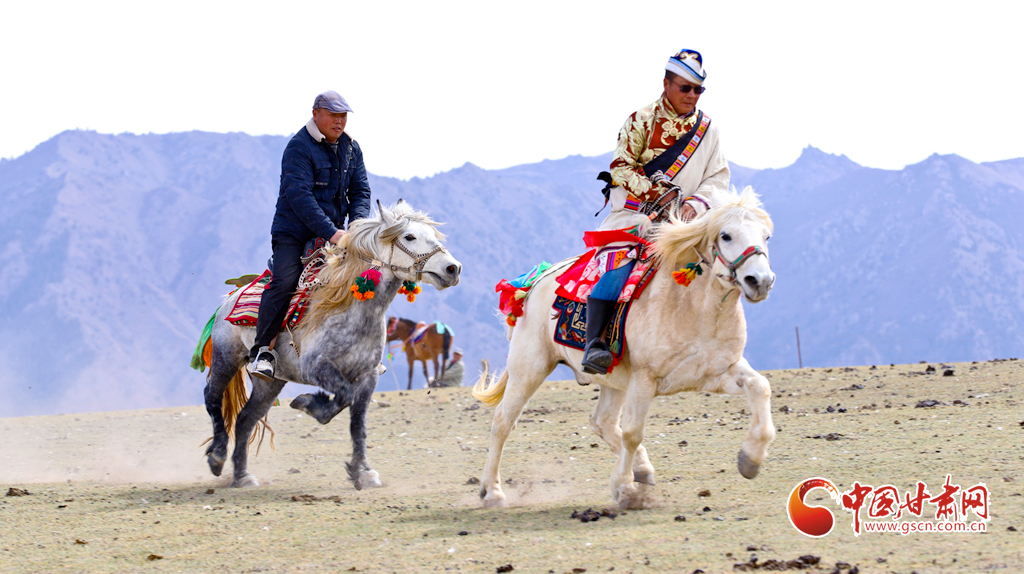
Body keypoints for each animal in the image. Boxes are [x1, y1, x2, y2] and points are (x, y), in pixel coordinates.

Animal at [203, 200, 460, 487]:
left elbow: (358, 422)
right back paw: (217, 457)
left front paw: (364, 472)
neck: (350, 309)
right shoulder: (317, 368)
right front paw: (307, 403)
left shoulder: (367, 376)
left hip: (270, 382)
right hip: (226, 358)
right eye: (409, 236)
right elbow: (344, 397)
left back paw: (242, 476)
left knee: (245, 419)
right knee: (212, 398)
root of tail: (229, 297)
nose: (453, 269)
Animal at [471, 186, 774, 507]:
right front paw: (626, 490)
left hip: (612, 379)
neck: (695, 309)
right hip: (529, 368)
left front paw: (750, 459)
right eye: (726, 235)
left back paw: (642, 468)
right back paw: (492, 491)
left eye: (766, 236)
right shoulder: (644, 379)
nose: (760, 281)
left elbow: (761, 387)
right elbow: (633, 433)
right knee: (503, 422)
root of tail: (533, 284)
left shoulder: (718, 372)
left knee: (601, 422)